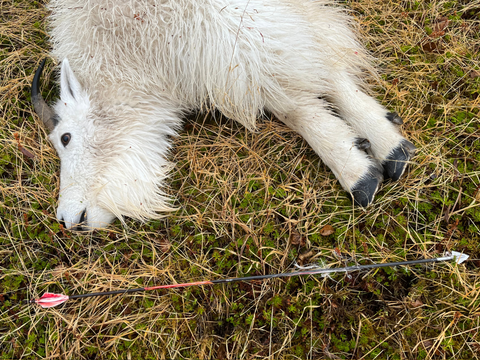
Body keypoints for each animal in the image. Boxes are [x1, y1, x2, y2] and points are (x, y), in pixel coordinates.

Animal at [30, 0, 414, 229]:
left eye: (65, 137)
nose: (68, 219)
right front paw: (380, 146)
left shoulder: (226, 30)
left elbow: (295, 94)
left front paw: (359, 168)